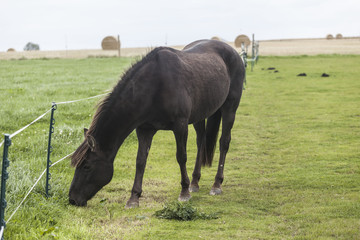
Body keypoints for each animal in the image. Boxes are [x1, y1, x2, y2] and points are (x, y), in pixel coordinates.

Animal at [69, 39, 246, 208]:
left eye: (86, 166)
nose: (72, 199)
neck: (155, 85)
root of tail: (234, 53)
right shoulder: (145, 129)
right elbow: (140, 161)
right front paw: (133, 198)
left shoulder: (180, 126)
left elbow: (181, 157)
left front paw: (184, 193)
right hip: (200, 115)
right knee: (200, 141)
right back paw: (195, 183)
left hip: (230, 108)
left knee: (224, 143)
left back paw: (216, 184)